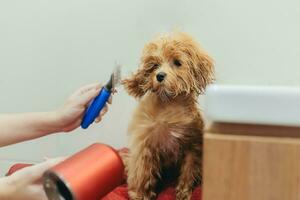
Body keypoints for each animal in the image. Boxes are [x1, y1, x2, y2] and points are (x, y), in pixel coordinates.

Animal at [123, 32, 214, 199]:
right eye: (154, 65)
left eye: (177, 63)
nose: (159, 76)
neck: (169, 105)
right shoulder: (145, 144)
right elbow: (143, 172)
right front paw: (140, 194)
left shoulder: (192, 146)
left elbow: (188, 170)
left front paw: (183, 192)